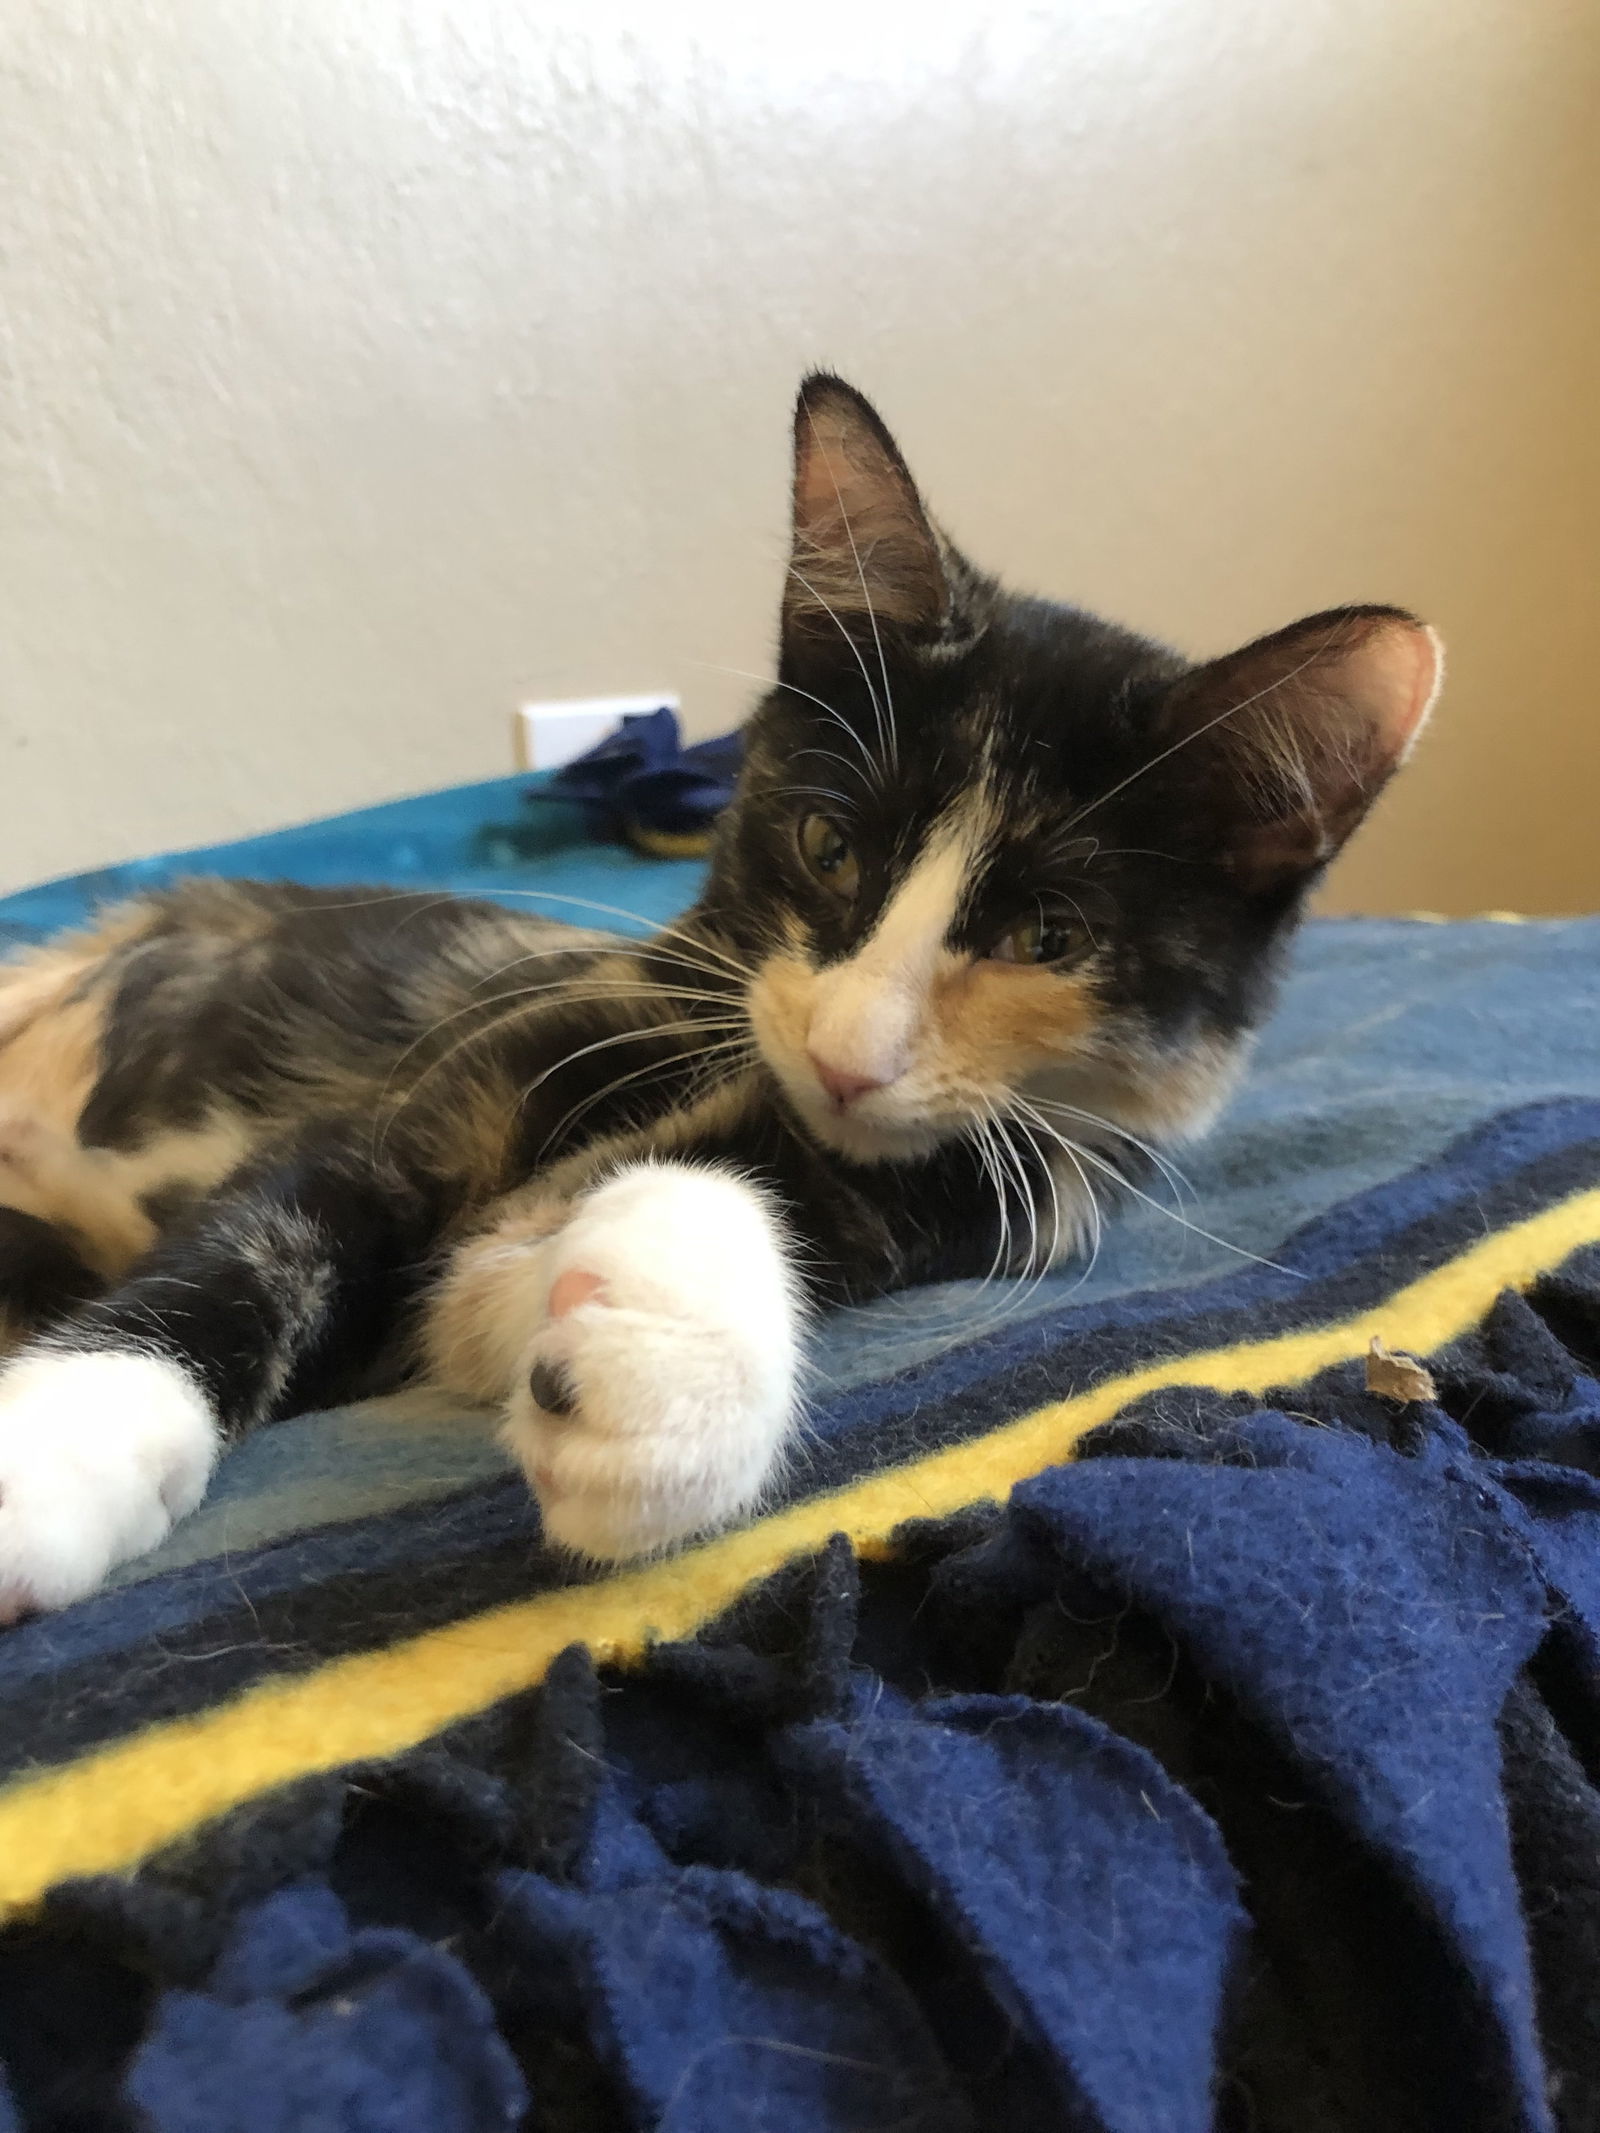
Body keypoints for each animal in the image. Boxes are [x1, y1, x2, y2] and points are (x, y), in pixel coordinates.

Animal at [0, 379, 1442, 1612]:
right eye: (828, 844)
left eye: (1049, 933)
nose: (848, 1051)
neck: (724, 1055)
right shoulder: (434, 1094)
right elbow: (263, 1243)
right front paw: (59, 1455)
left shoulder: (966, 1202)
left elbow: (493, 1292)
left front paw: (669, 1379)